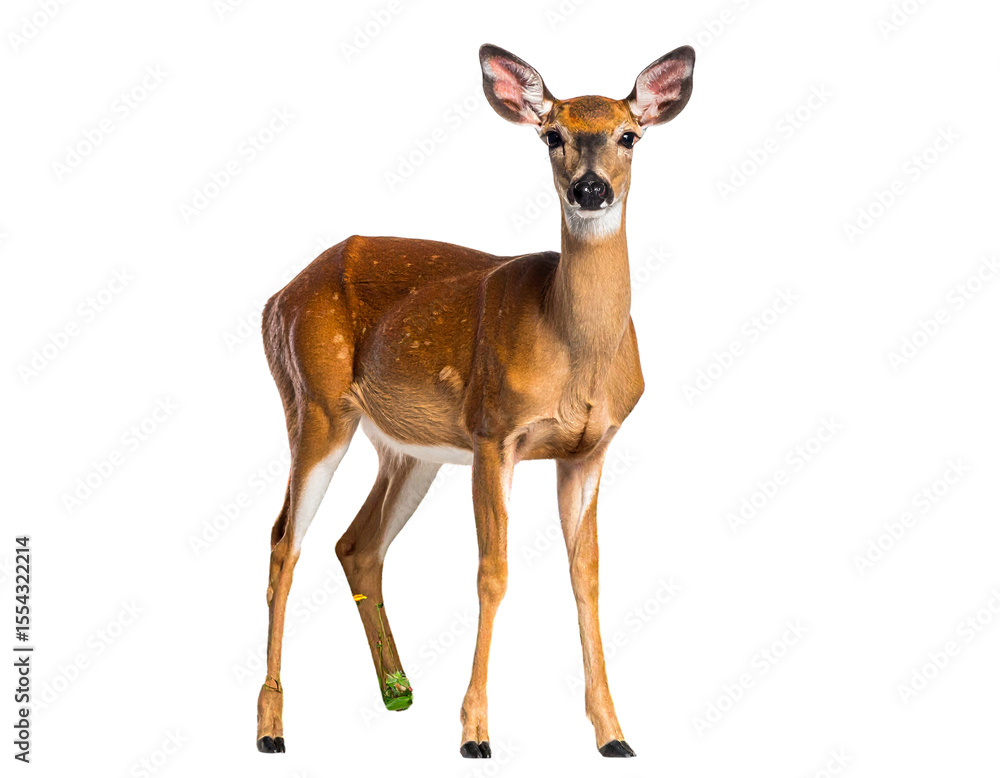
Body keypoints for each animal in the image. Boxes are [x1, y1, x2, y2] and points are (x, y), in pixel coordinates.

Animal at [255, 42, 695, 758]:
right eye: (552, 135)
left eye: (629, 135)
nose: (591, 189)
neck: (572, 349)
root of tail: (273, 301)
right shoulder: (494, 431)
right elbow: (494, 571)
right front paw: (475, 733)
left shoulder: (588, 450)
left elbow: (588, 576)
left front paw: (613, 735)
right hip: (313, 402)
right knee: (284, 541)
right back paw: (272, 727)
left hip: (409, 448)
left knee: (356, 545)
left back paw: (398, 692)